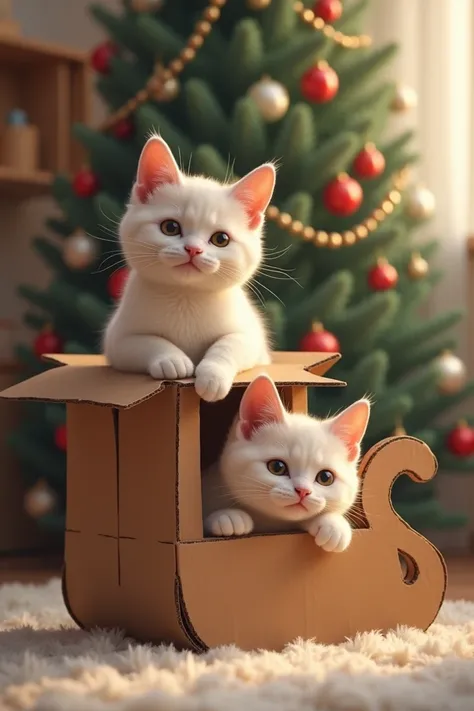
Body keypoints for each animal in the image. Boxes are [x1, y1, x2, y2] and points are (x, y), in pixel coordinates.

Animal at [102, 134, 276, 400]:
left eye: (221, 239)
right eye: (170, 227)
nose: (193, 249)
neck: (186, 298)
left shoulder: (253, 339)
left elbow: (229, 344)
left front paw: (213, 375)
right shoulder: (116, 340)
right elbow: (144, 341)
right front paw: (171, 360)